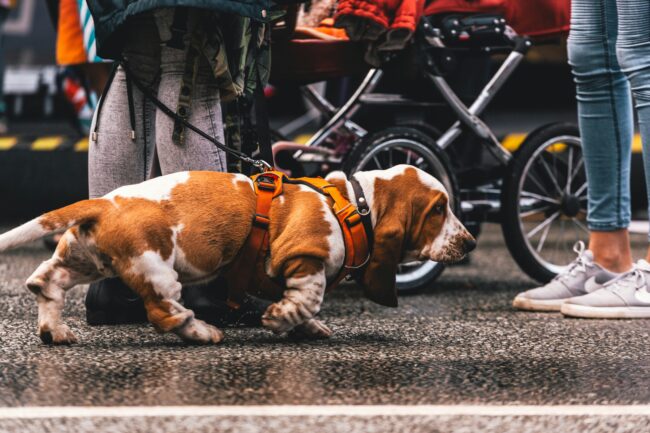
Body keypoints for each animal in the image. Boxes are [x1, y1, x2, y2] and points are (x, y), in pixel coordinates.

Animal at [1, 165, 476, 344]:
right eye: (439, 209)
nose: (470, 243)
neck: (357, 206)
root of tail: (103, 203)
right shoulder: (304, 259)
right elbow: (309, 296)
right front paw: (282, 320)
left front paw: (305, 327)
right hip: (156, 268)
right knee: (164, 311)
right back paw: (201, 331)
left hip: (86, 257)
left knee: (46, 281)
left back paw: (54, 331)